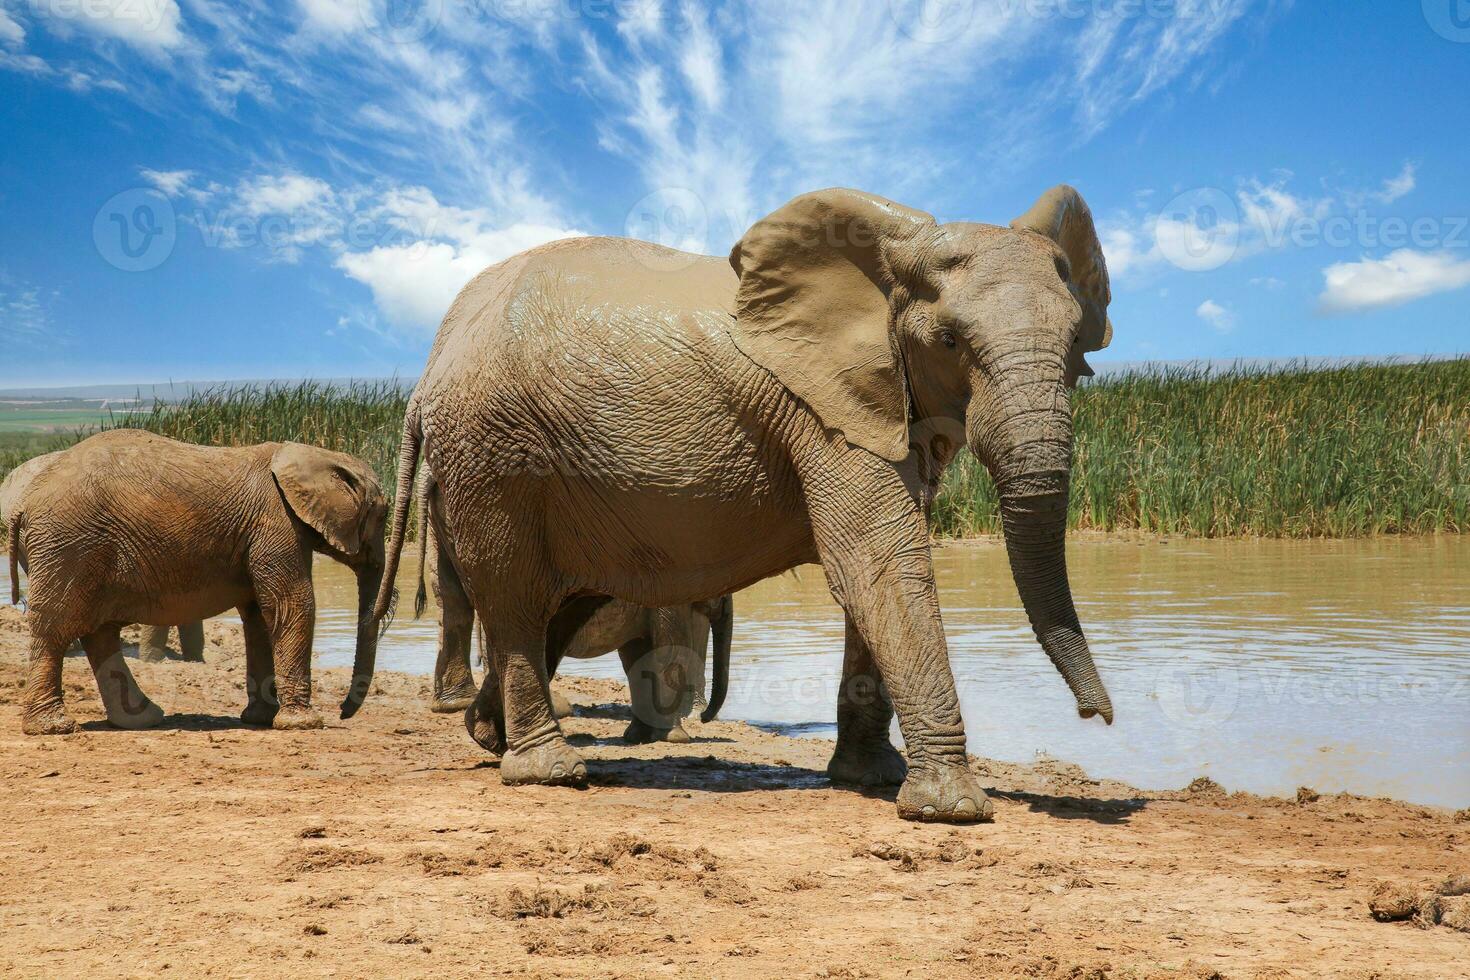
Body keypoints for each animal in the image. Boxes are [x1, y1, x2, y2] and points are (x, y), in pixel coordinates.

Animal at [8, 431, 388, 734]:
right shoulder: (276, 522)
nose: (343, 712)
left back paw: (143, 719)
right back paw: (53, 727)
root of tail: (23, 504)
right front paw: (303, 724)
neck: (311, 454)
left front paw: (260, 719)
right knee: (56, 628)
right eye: (382, 514)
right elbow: (290, 605)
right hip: (67, 545)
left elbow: (259, 616)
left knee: (98, 632)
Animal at [376, 188, 1111, 822]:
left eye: (1078, 343)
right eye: (951, 341)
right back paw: (548, 770)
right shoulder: (821, 412)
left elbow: (870, 575)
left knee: (557, 603)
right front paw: (951, 811)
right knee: (518, 598)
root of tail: (428, 367)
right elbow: (877, 563)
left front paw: (870, 778)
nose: (1097, 718)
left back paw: (487, 735)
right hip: (493, 453)